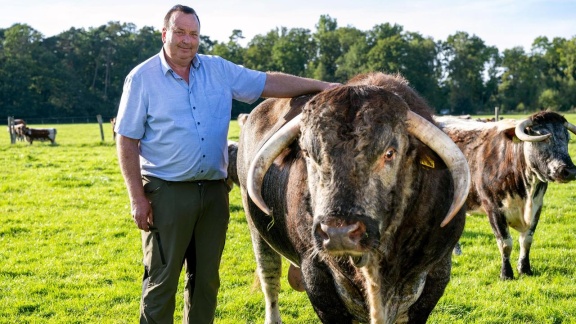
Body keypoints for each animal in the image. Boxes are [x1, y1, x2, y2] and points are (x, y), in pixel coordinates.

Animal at [236, 73, 470, 324]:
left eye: (389, 153)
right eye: (307, 153)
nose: (338, 233)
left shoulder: (438, 272)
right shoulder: (316, 277)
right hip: (256, 231)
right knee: (269, 279)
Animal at [434, 112, 576, 280]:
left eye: (567, 138)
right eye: (541, 137)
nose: (569, 171)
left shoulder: (537, 207)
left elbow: (526, 240)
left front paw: (525, 269)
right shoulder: (493, 208)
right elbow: (505, 243)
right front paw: (506, 273)